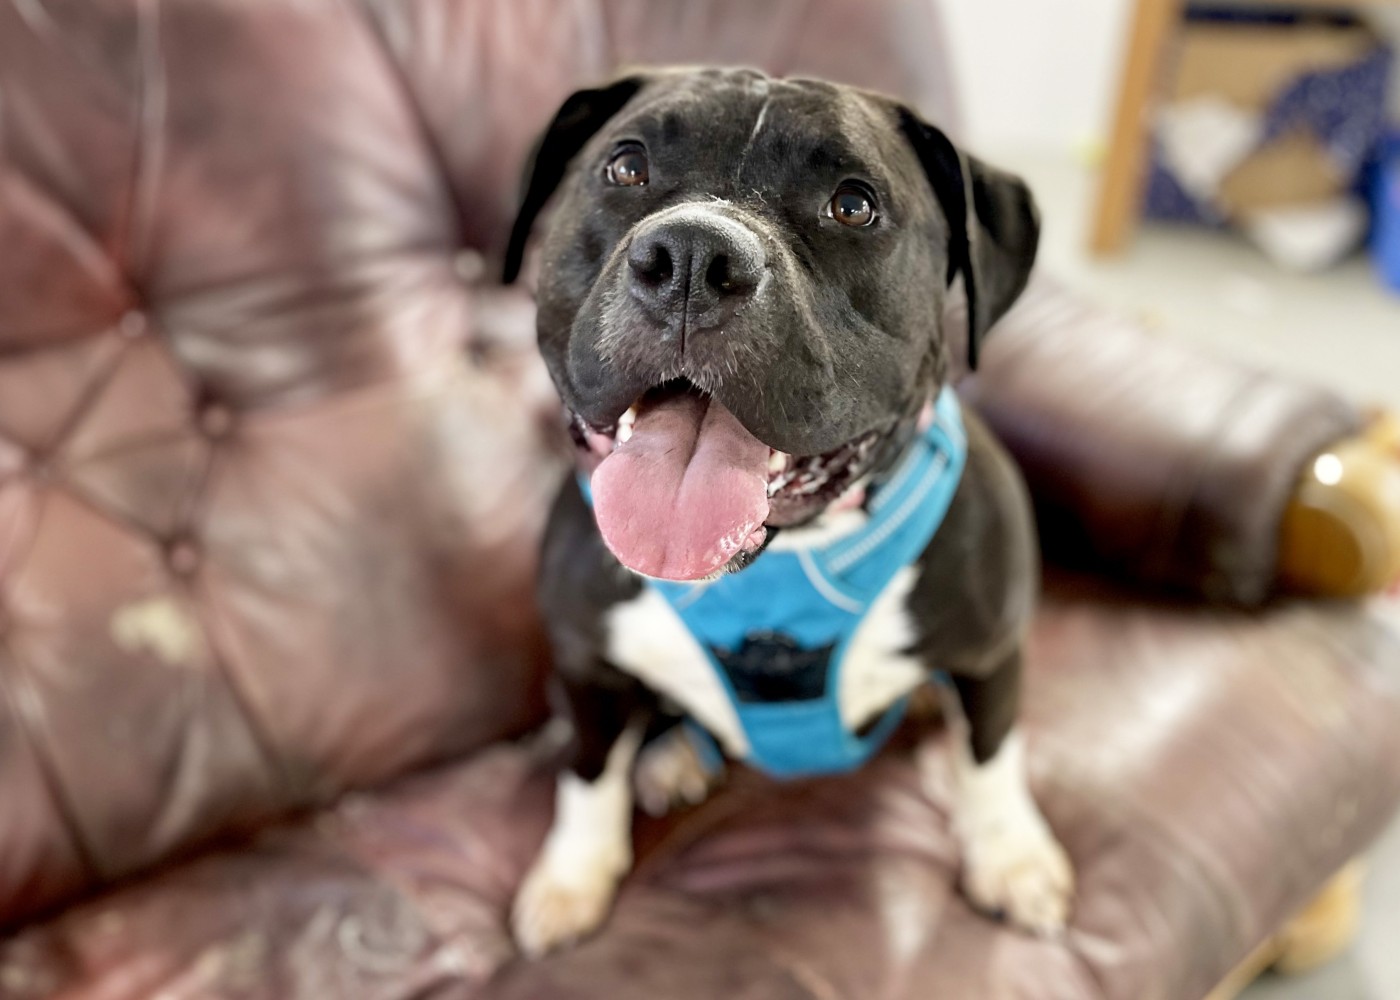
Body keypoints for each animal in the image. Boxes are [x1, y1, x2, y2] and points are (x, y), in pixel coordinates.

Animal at [502, 67, 1073, 957]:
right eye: (625, 167)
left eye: (854, 205)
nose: (692, 256)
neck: (778, 563)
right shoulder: (585, 667)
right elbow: (587, 773)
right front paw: (572, 875)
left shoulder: (991, 654)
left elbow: (993, 755)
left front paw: (1011, 855)